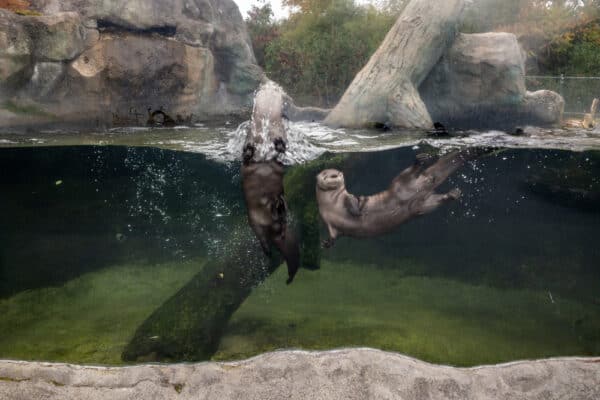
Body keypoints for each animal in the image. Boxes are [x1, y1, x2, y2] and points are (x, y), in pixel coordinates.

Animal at [316, 150, 486, 247]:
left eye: (337, 173)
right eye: (327, 174)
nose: (336, 175)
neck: (330, 203)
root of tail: (426, 180)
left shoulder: (347, 197)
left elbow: (354, 201)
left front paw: (357, 211)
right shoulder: (328, 220)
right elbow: (334, 235)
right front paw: (326, 243)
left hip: (400, 182)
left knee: (408, 173)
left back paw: (420, 160)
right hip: (423, 206)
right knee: (436, 201)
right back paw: (453, 194)